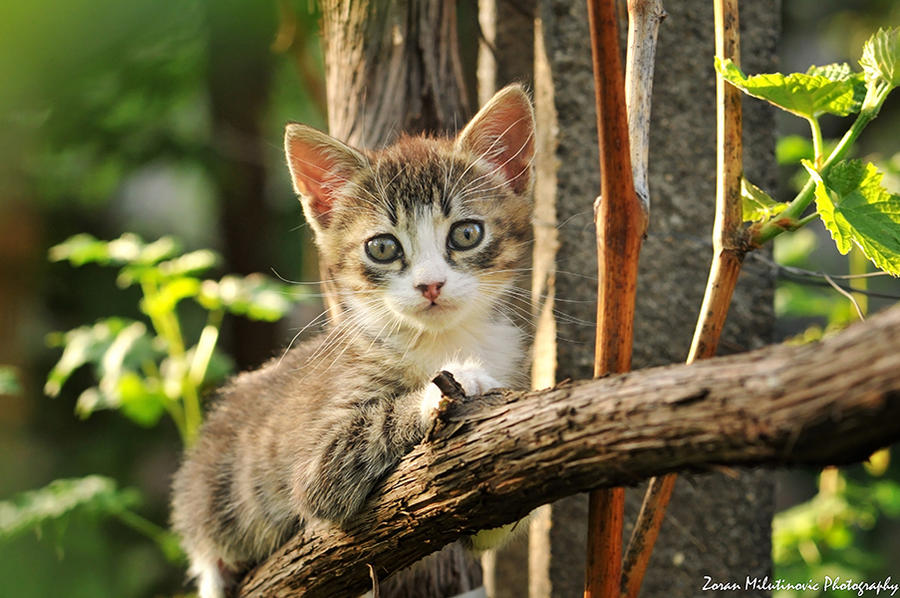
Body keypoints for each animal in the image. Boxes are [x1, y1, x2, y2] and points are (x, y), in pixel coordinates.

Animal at [171, 85, 536, 598]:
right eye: (382, 247)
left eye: (467, 233)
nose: (431, 285)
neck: (441, 337)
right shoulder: (317, 462)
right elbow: (359, 439)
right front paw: (457, 381)